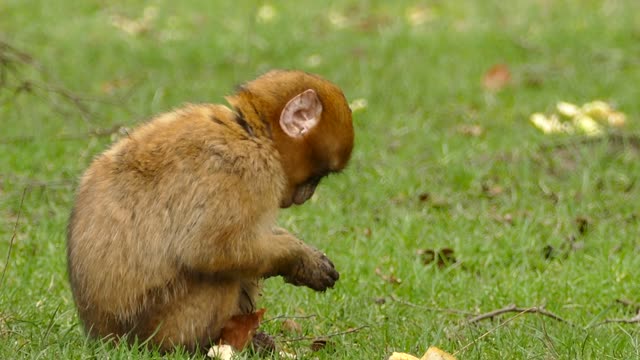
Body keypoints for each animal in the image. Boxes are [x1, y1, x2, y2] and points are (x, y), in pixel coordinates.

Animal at [66, 69, 356, 352]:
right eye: (318, 176)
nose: (306, 196)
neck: (251, 133)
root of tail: (103, 335)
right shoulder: (244, 171)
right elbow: (209, 250)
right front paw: (298, 258)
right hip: (161, 325)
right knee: (222, 275)